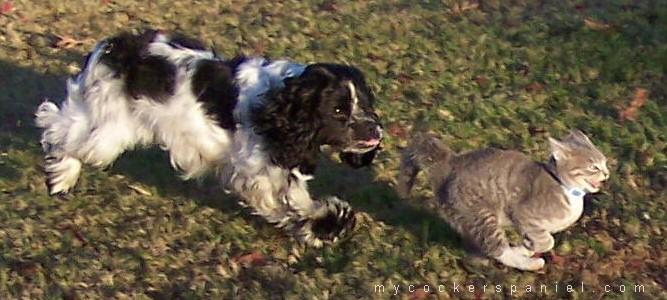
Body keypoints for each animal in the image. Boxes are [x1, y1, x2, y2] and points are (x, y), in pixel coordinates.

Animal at [36, 30, 384, 246]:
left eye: (366, 105)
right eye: (338, 110)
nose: (375, 131)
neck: (281, 100)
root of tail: (115, 46)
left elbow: (292, 197)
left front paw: (322, 223)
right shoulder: (256, 169)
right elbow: (282, 198)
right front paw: (325, 223)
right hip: (108, 129)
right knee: (59, 127)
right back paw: (63, 175)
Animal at [400, 130, 608, 270]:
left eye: (604, 162)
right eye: (594, 167)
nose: (606, 173)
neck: (564, 187)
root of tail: (450, 164)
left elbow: (536, 237)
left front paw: (527, 244)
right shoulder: (523, 213)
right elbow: (547, 241)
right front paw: (534, 246)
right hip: (482, 215)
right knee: (498, 249)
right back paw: (530, 262)